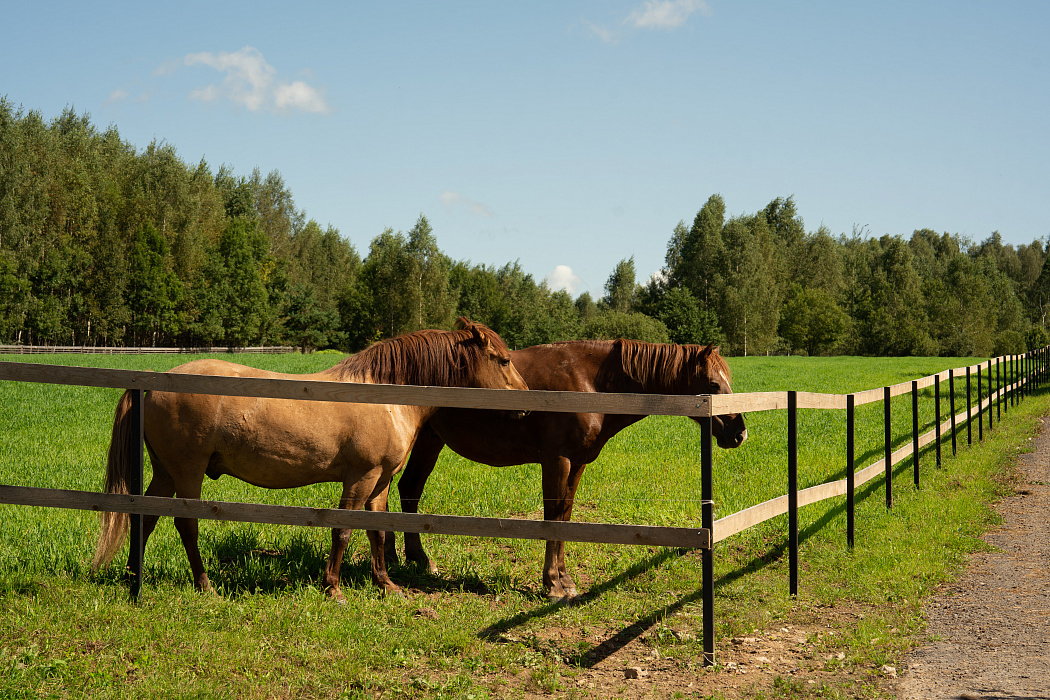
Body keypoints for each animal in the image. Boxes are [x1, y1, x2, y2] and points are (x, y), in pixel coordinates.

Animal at [92, 318, 528, 602]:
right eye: (504, 359)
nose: (526, 403)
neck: (384, 395)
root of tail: (154, 383)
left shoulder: (381, 482)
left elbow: (378, 531)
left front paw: (386, 584)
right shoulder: (360, 478)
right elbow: (343, 530)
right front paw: (333, 587)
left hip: (167, 472)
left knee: (145, 516)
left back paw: (133, 575)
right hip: (188, 471)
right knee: (186, 524)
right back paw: (204, 584)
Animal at [386, 339, 747, 601]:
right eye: (713, 384)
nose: (739, 433)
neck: (588, 382)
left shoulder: (577, 463)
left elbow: (566, 515)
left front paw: (564, 579)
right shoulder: (557, 461)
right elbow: (553, 517)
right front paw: (553, 584)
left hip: (429, 441)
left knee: (407, 489)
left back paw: (412, 559)